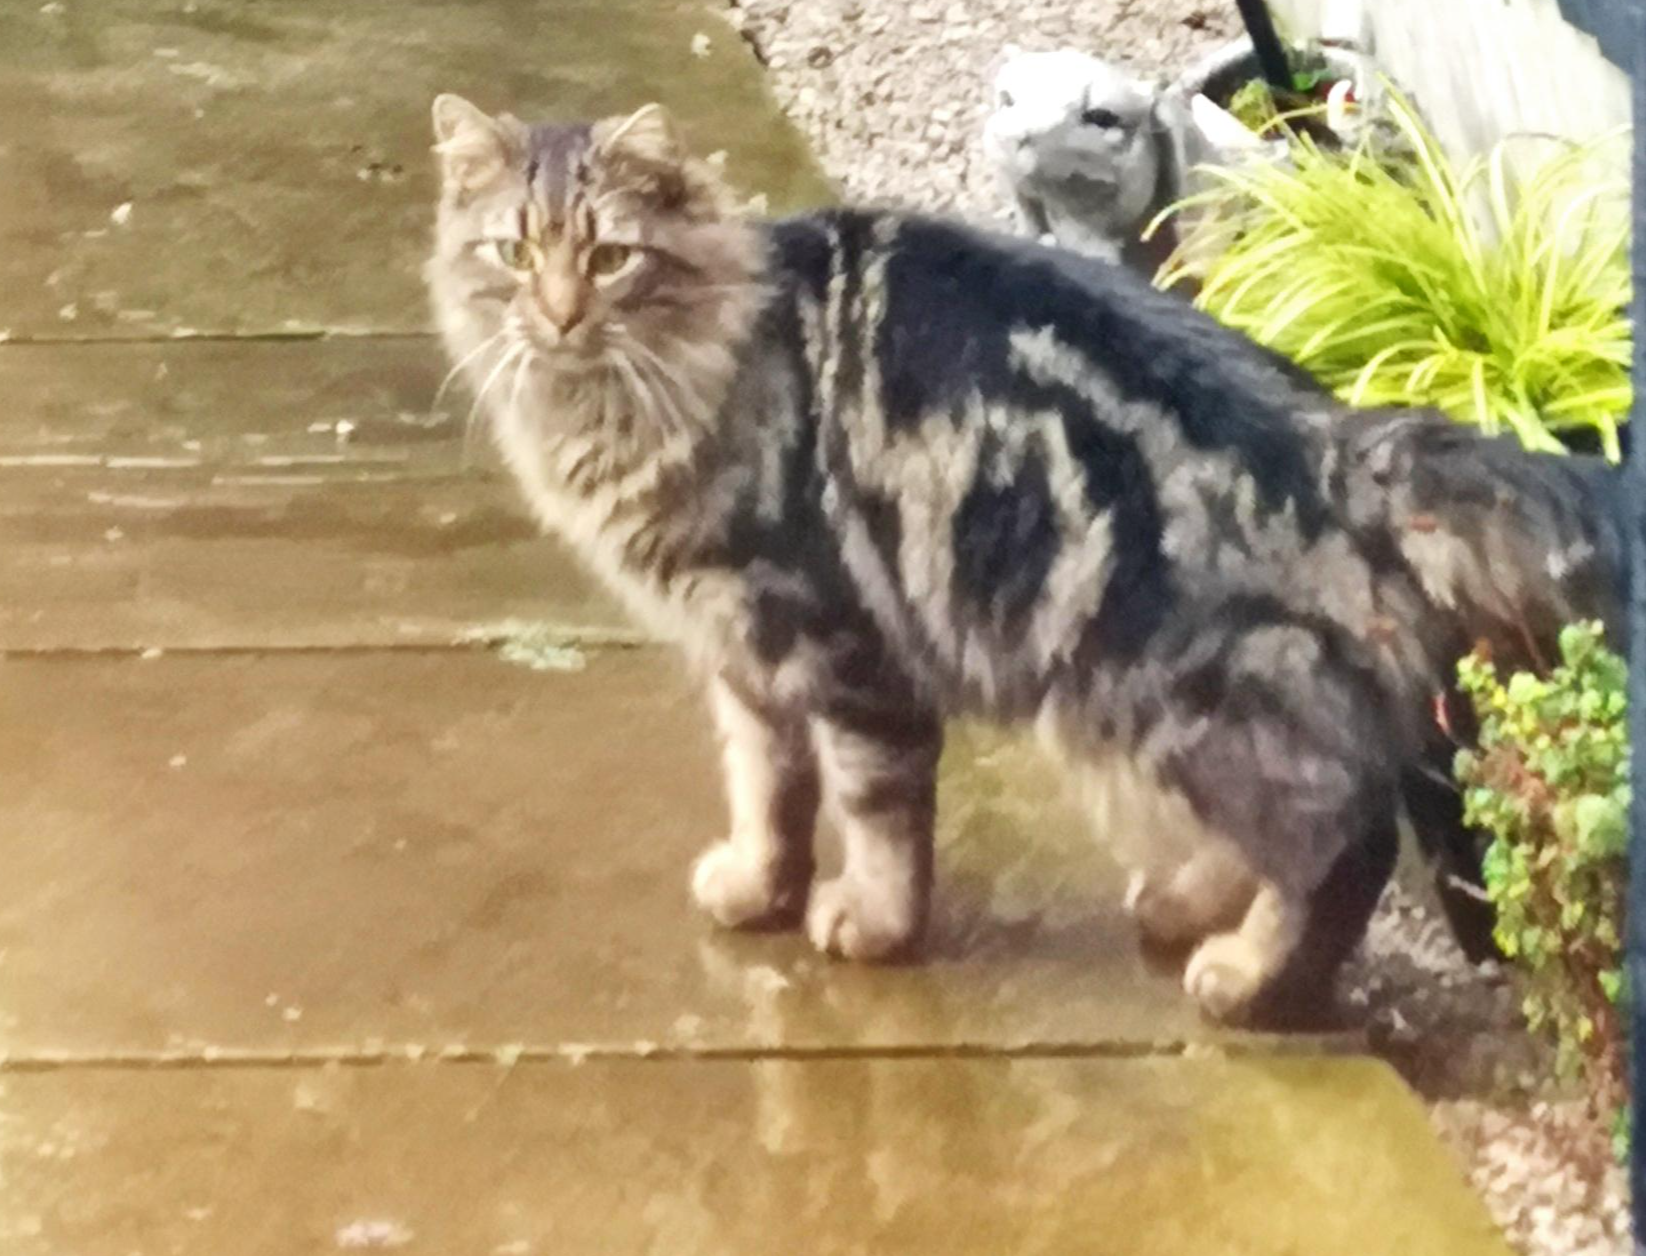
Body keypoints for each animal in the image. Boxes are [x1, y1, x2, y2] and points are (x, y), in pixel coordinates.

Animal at [428, 95, 1621, 1024]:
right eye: (513, 254)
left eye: (608, 256)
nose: (557, 316)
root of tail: (1343, 440)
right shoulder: (743, 657)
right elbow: (767, 788)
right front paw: (758, 888)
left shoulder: (836, 638)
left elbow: (872, 807)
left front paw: (870, 924)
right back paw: (1184, 907)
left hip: (1172, 687)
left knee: (1339, 836)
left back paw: (1244, 981)